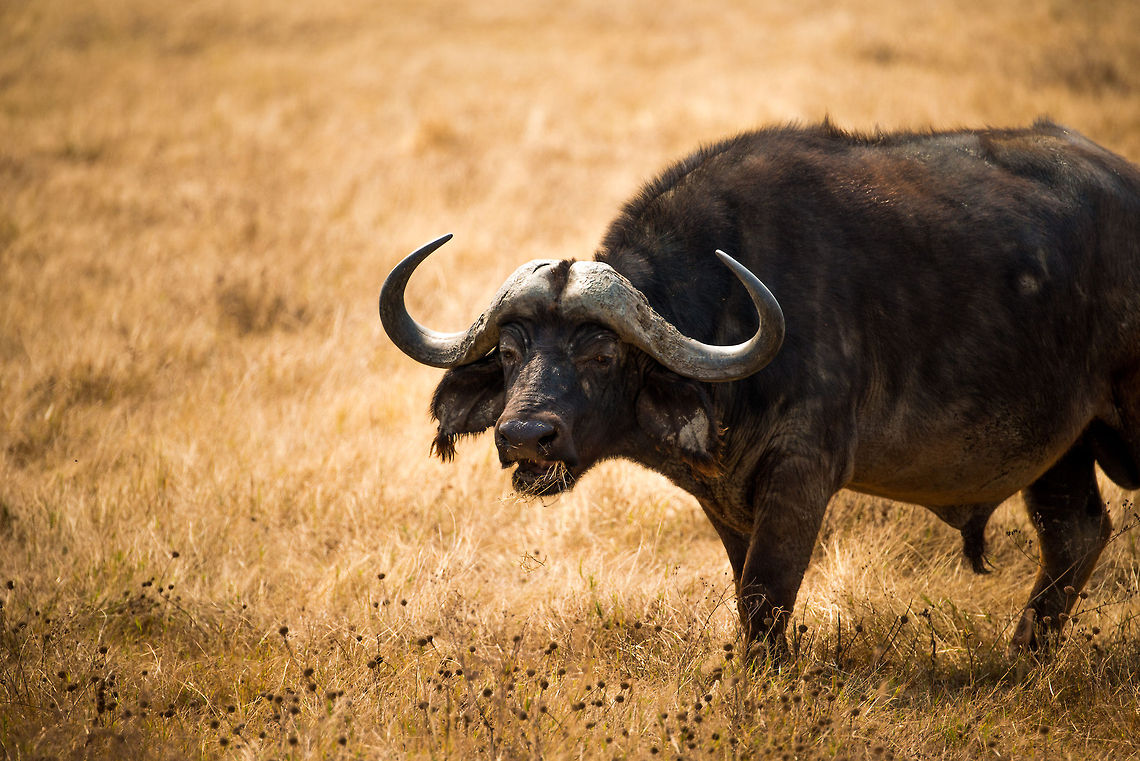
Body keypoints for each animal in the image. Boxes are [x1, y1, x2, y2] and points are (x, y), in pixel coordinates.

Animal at [380, 121, 1140, 655]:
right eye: (511, 353)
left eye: (601, 354)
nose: (524, 435)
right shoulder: (727, 500)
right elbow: (748, 597)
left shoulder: (802, 476)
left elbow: (766, 597)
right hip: (1059, 448)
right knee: (1076, 534)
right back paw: (1023, 657)